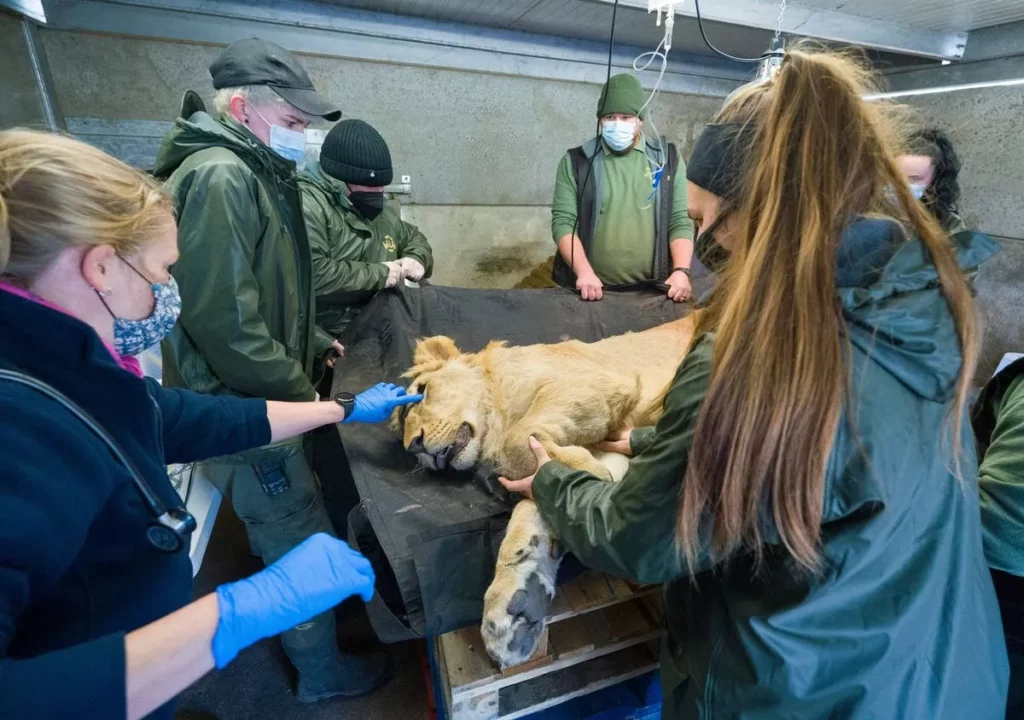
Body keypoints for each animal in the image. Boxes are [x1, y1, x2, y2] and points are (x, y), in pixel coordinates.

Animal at [393, 315, 697, 667]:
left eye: (422, 391)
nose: (414, 446)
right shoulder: (607, 445)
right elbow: (533, 511)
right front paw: (515, 603)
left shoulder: (596, 383)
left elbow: (518, 442)